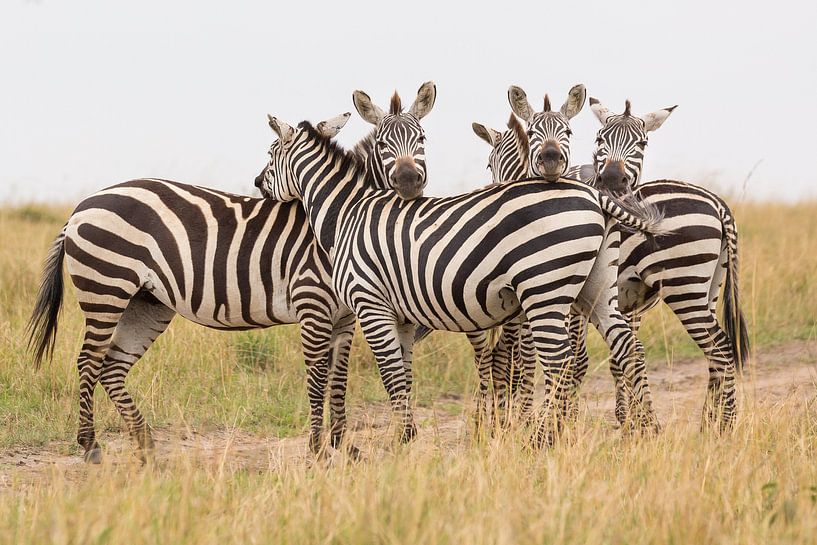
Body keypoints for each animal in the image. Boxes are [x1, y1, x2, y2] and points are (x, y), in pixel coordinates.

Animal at [27, 115, 362, 464]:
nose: (258, 182)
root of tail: (82, 207)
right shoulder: (313, 305)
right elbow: (319, 377)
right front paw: (319, 450)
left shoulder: (346, 317)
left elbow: (340, 377)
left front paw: (344, 444)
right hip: (106, 288)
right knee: (89, 361)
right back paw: (91, 444)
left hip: (146, 302)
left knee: (112, 366)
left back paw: (144, 444)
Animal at [258, 108, 668, 444]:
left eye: (270, 152)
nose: (258, 184)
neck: (348, 212)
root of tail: (594, 193)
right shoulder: (401, 315)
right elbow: (404, 373)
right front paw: (407, 437)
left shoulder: (370, 304)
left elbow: (389, 373)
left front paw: (399, 442)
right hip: (596, 287)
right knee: (626, 345)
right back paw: (645, 428)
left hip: (544, 288)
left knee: (559, 358)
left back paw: (542, 439)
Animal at [584, 98, 748, 430]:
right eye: (599, 139)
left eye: (642, 143)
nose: (612, 180)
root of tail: (718, 203)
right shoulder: (626, 303)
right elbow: (622, 358)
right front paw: (630, 420)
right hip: (710, 287)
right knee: (714, 353)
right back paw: (708, 422)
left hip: (684, 288)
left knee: (720, 348)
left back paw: (724, 426)